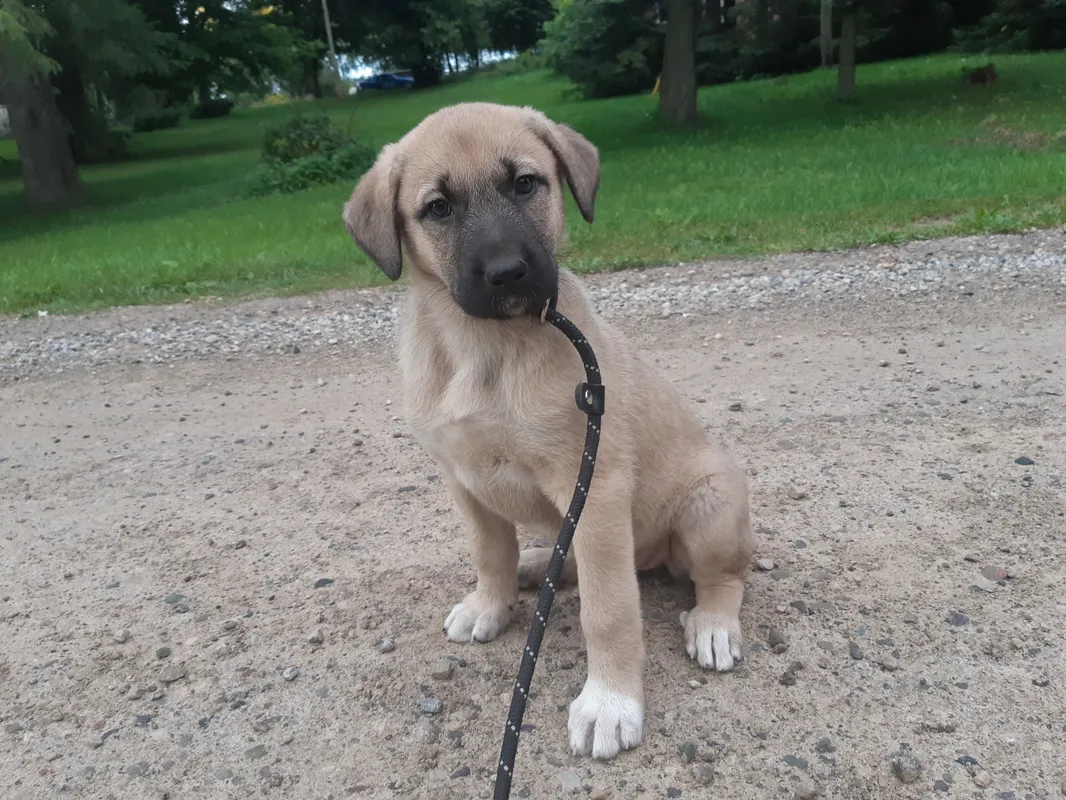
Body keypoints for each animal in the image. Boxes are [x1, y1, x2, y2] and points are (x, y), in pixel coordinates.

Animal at [345, 103, 754, 759]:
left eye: (525, 184)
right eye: (438, 207)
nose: (507, 273)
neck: (483, 349)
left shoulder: (594, 484)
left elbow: (609, 611)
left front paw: (611, 702)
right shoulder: (463, 479)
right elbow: (490, 552)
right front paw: (491, 604)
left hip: (711, 503)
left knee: (721, 575)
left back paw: (714, 624)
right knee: (564, 556)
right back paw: (536, 567)